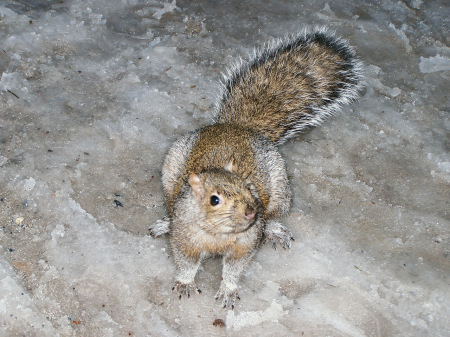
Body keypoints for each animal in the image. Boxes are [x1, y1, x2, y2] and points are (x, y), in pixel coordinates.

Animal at [149, 27, 364, 308]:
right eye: (214, 200)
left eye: (249, 188)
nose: (251, 212)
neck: (219, 234)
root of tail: (238, 127)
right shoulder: (185, 237)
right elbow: (185, 262)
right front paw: (185, 282)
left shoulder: (245, 244)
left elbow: (235, 267)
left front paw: (228, 289)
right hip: (170, 172)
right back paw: (165, 222)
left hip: (280, 188)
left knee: (272, 215)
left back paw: (273, 229)